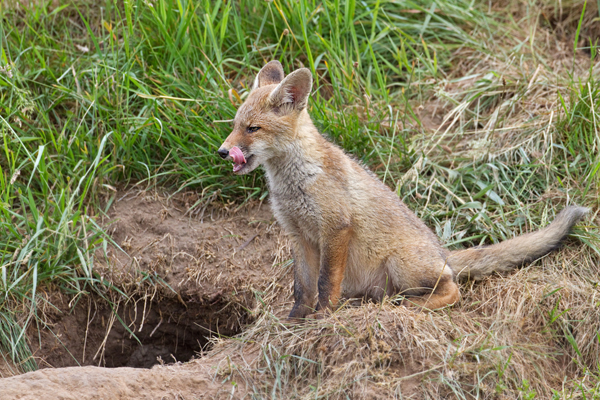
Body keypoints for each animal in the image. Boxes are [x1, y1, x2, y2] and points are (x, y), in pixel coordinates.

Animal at [218, 60, 588, 318]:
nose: (222, 151)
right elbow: (302, 288)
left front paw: (323, 316)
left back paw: (412, 305)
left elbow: (325, 283)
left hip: (401, 263)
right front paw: (296, 321)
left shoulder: (335, 228)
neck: (295, 183)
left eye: (253, 129)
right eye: (235, 125)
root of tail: (442, 251)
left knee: (453, 289)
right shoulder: (299, 235)